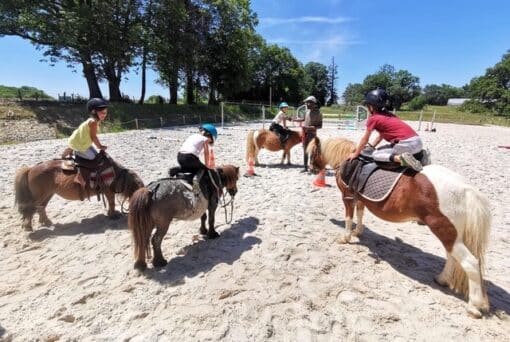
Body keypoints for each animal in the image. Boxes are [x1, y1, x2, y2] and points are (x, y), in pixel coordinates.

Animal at [13, 154, 143, 231]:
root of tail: (31, 169)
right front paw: (113, 215)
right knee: (31, 208)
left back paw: (46, 222)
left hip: (47, 194)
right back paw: (28, 226)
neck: (114, 173)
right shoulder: (108, 191)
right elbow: (111, 202)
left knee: (41, 208)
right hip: (40, 195)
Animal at [304, 136, 492, 318]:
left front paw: (346, 237)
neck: (347, 159)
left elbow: (349, 217)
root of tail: (466, 189)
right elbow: (360, 214)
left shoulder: (348, 197)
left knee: (470, 263)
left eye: (312, 153)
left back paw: (474, 306)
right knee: (451, 256)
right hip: (451, 234)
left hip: (445, 230)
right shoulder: (360, 197)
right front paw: (358, 232)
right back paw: (442, 279)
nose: (311, 169)